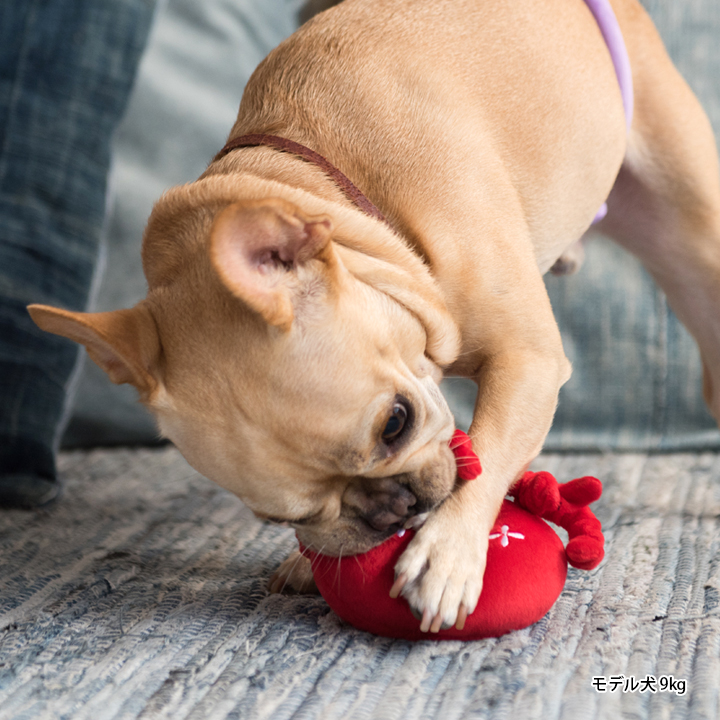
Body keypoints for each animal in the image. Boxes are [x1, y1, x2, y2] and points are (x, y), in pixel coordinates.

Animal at [26, 0, 720, 632]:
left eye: (395, 423)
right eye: (283, 518)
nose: (392, 511)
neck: (331, 184)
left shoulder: (528, 361)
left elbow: (488, 449)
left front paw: (447, 553)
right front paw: (312, 562)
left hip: (690, 238)